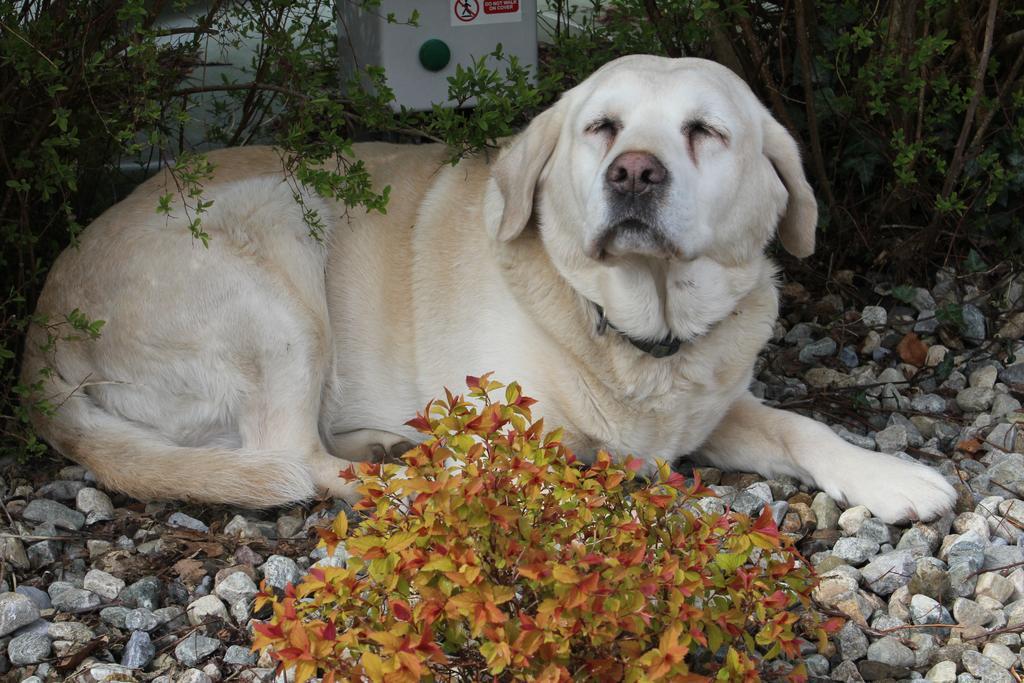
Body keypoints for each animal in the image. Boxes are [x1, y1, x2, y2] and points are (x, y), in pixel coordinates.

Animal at [22, 56, 958, 524]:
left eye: (705, 132)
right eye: (602, 127)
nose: (634, 173)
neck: (633, 330)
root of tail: (40, 339)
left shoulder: (713, 404)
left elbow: (803, 426)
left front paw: (889, 476)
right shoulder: (521, 434)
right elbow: (566, 466)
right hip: (277, 263)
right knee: (288, 455)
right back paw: (401, 471)